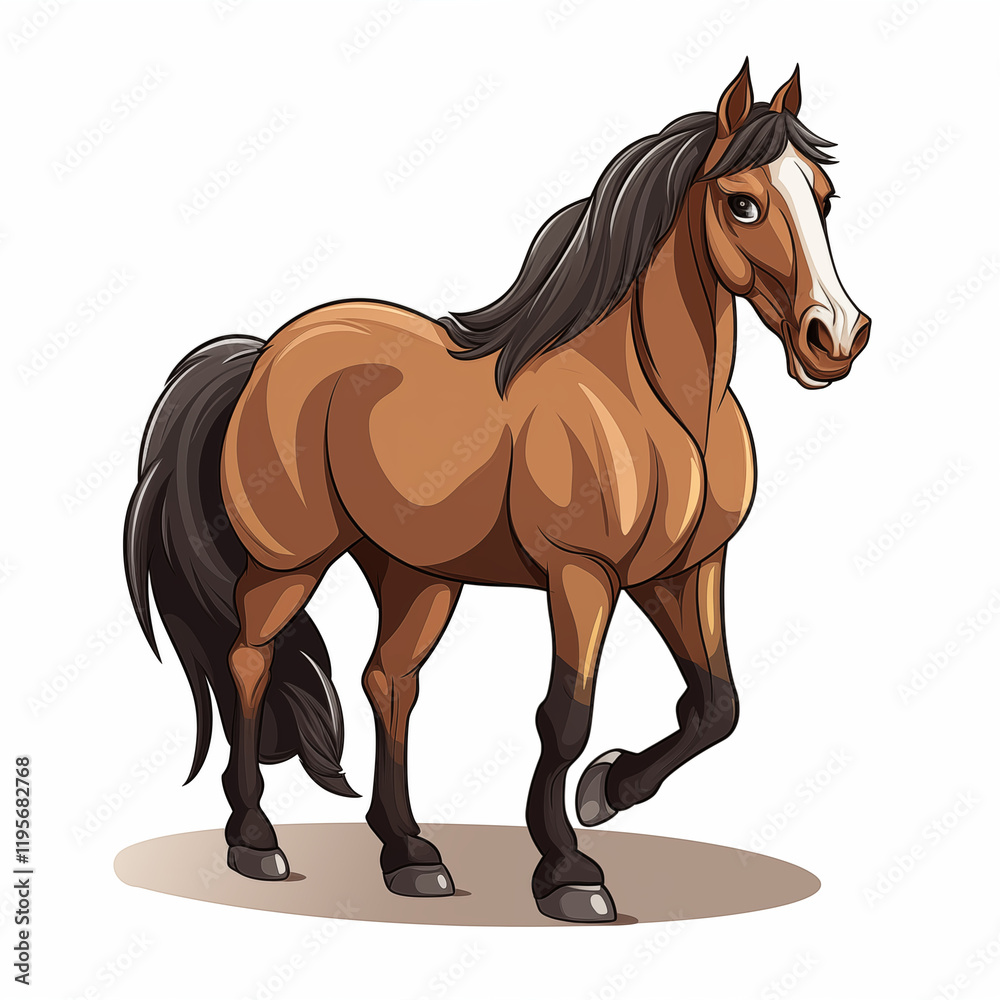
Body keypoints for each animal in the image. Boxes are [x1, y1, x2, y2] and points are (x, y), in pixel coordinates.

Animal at [125, 60, 869, 923]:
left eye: (823, 196)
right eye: (742, 202)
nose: (837, 337)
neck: (655, 401)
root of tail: (263, 351)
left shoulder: (685, 571)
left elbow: (717, 705)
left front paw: (606, 792)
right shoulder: (583, 576)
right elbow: (565, 716)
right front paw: (569, 871)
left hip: (416, 573)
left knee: (389, 681)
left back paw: (410, 855)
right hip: (291, 562)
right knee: (251, 658)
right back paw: (254, 839)